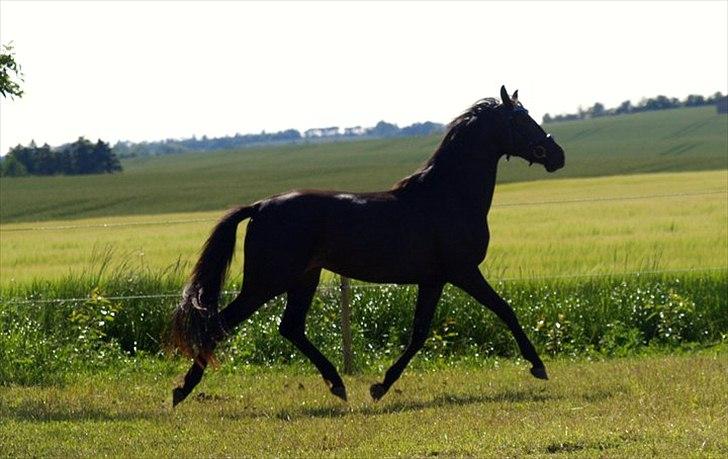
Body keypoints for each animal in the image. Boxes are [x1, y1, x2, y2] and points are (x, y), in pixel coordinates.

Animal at [169, 85, 564, 406]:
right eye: (521, 120)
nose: (557, 155)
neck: (448, 196)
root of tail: (260, 206)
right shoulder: (463, 271)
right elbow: (505, 311)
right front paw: (538, 366)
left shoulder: (434, 279)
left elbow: (419, 332)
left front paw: (380, 387)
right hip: (266, 282)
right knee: (220, 324)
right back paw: (182, 390)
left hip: (304, 278)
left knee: (290, 327)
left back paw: (337, 385)